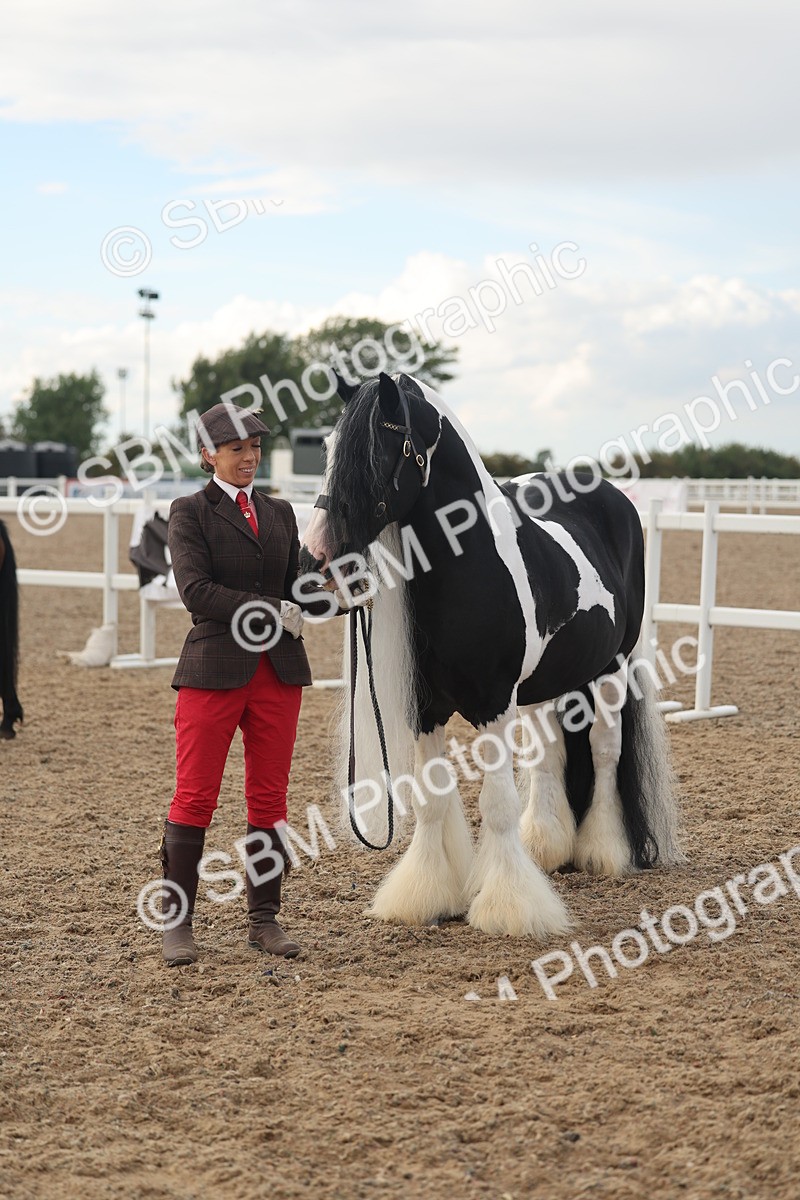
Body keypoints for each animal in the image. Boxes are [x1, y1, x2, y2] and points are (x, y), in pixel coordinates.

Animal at [300, 372, 680, 939]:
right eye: (326, 449)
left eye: (375, 453)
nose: (314, 567)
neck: (468, 566)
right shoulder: (425, 709)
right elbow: (433, 799)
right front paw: (425, 894)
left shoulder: (493, 704)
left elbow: (497, 803)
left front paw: (509, 907)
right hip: (549, 683)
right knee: (551, 756)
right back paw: (546, 848)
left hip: (612, 668)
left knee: (604, 751)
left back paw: (602, 852)